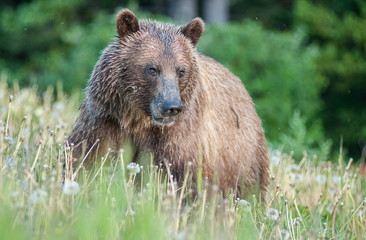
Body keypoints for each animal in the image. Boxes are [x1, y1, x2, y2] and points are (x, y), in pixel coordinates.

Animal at [68, 9, 268, 200]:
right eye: (152, 69)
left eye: (181, 71)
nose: (171, 107)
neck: (137, 120)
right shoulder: (105, 121)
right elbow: (85, 159)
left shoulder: (180, 140)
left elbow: (184, 181)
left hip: (243, 156)